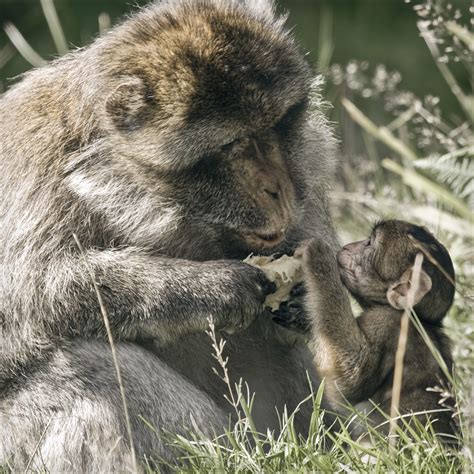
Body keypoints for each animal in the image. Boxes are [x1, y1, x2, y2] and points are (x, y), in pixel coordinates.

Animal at [0, 0, 336, 470]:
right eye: (234, 145)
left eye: (277, 126)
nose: (278, 189)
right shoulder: (32, 182)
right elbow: (31, 300)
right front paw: (209, 288)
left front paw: (313, 290)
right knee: (86, 367)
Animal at [276, 220, 458, 442]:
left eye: (370, 243)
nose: (348, 247)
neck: (419, 319)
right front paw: (301, 316)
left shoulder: (385, 323)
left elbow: (351, 382)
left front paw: (318, 257)